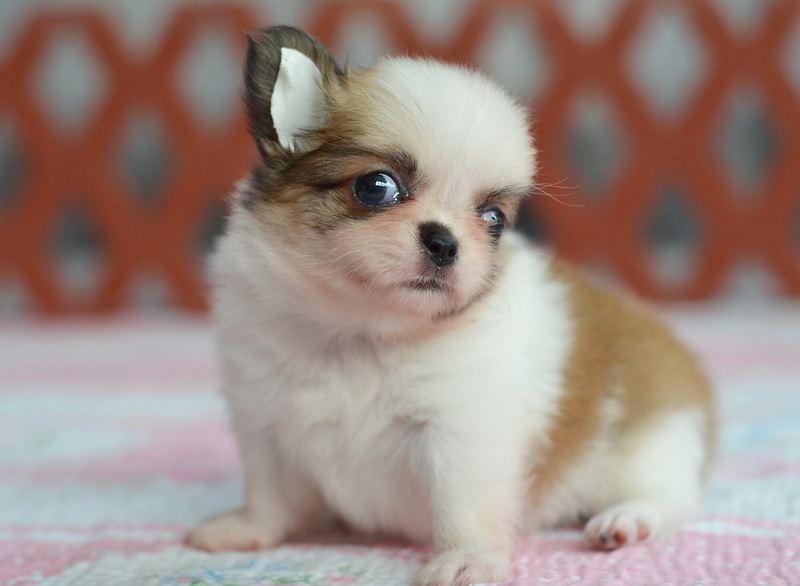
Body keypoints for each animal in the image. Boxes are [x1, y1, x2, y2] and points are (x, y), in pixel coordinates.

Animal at [187, 26, 714, 586]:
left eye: (493, 220)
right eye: (376, 186)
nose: (445, 243)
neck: (361, 333)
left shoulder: (460, 435)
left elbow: (464, 508)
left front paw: (467, 560)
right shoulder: (263, 421)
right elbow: (267, 493)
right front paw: (248, 529)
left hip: (649, 447)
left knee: (673, 498)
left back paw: (626, 520)